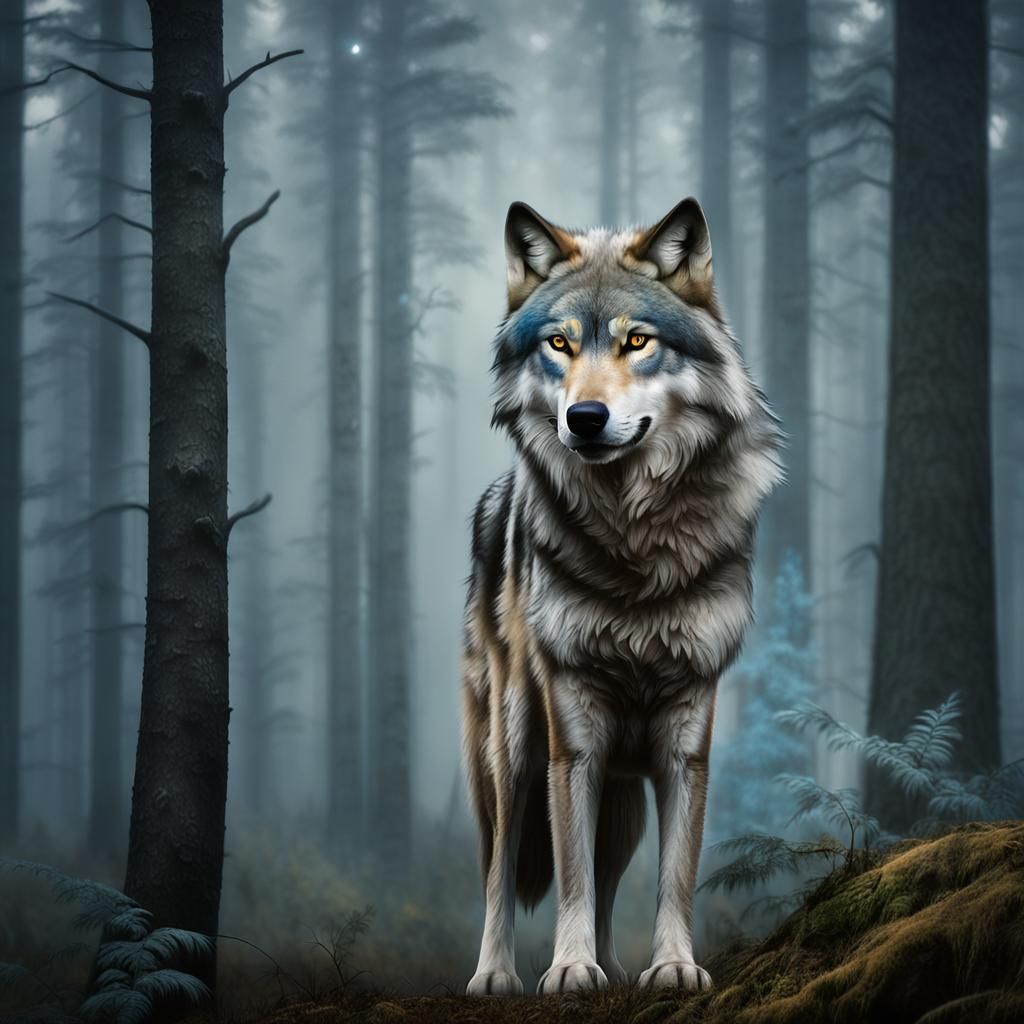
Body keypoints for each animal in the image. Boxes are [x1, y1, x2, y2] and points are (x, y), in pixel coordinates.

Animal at [462, 199, 782, 996]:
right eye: (559, 344)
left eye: (637, 341)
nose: (585, 419)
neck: (637, 549)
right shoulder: (573, 737)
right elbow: (567, 871)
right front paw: (569, 968)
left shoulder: (687, 734)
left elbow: (675, 875)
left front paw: (670, 966)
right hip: (513, 750)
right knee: (499, 866)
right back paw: (496, 974)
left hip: (621, 798)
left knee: (607, 878)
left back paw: (608, 962)